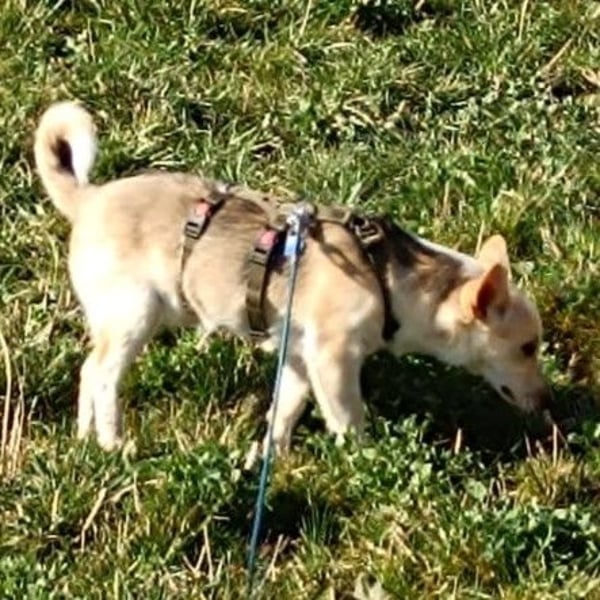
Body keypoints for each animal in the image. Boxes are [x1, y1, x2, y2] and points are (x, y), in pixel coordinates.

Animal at [34, 101, 553, 453]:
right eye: (528, 348)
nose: (547, 402)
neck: (388, 276)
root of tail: (88, 198)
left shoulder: (300, 361)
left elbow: (282, 414)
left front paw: (270, 458)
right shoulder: (333, 360)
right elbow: (349, 421)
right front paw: (364, 463)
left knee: (87, 372)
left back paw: (85, 440)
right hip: (136, 315)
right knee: (103, 376)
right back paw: (112, 442)